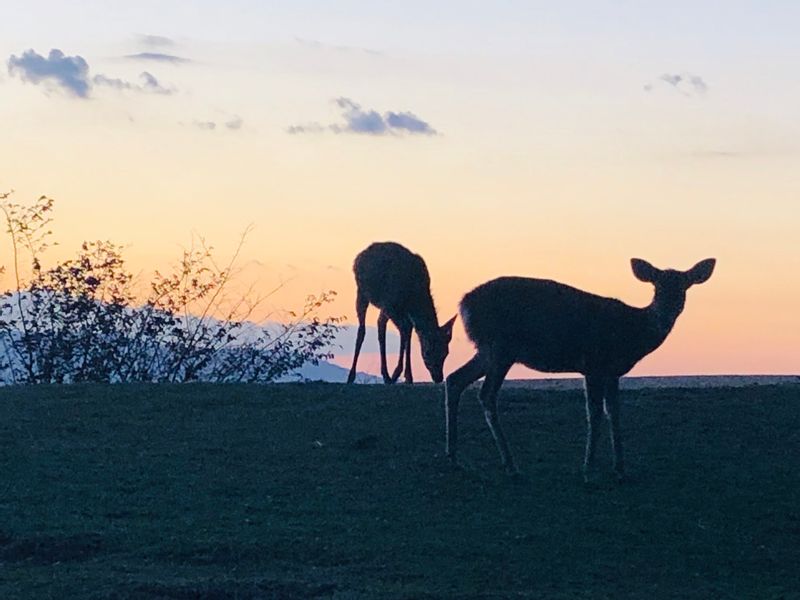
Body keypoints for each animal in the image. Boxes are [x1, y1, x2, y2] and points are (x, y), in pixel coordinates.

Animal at [346, 243, 456, 384]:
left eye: (445, 353)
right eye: (427, 352)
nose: (438, 377)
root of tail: (359, 256)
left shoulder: (400, 310)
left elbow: (407, 331)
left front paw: (406, 375)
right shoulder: (391, 304)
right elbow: (405, 329)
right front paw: (399, 373)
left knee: (380, 325)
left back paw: (386, 375)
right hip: (363, 292)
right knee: (362, 329)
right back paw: (352, 375)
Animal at [444, 255, 720, 480]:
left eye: (684, 286)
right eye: (657, 286)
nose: (667, 312)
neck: (633, 331)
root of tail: (463, 305)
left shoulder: (612, 371)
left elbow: (614, 412)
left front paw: (620, 468)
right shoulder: (593, 364)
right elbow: (594, 413)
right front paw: (589, 469)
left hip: (487, 350)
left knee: (454, 379)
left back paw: (454, 458)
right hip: (501, 348)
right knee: (486, 394)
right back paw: (510, 465)